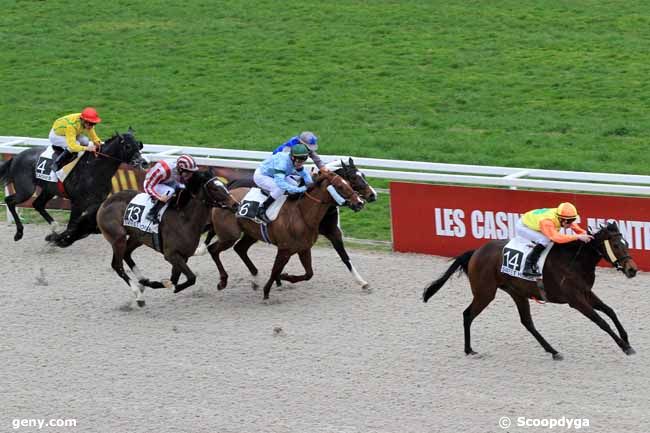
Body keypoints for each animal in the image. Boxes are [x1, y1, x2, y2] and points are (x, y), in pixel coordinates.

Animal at [0, 127, 147, 246]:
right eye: (127, 146)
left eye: (139, 145)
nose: (144, 162)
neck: (94, 168)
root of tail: (16, 157)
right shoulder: (77, 203)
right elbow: (72, 226)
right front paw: (58, 239)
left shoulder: (96, 202)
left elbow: (84, 226)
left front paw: (59, 237)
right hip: (26, 190)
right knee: (10, 201)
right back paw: (19, 233)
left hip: (48, 189)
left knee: (38, 204)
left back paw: (54, 227)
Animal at [95, 170, 237, 308]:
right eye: (215, 189)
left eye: (224, 186)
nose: (235, 204)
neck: (185, 220)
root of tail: (105, 203)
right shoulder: (171, 255)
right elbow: (190, 278)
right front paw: (169, 286)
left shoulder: (183, 256)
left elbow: (176, 279)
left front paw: (153, 283)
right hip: (118, 238)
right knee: (117, 265)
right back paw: (139, 295)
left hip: (137, 238)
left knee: (127, 254)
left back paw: (142, 281)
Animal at [197, 158, 378, 286]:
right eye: (353, 177)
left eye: (363, 175)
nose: (372, 195)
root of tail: (232, 184)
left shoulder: (332, 232)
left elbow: (344, 256)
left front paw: (362, 281)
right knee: (217, 236)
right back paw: (202, 249)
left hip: (251, 233)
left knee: (239, 248)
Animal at [420, 221, 636, 360]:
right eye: (616, 245)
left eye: (626, 243)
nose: (632, 270)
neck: (574, 261)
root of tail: (476, 252)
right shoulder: (575, 300)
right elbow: (601, 321)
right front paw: (624, 346)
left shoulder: (585, 293)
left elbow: (610, 311)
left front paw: (627, 340)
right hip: (485, 293)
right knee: (467, 314)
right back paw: (469, 349)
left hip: (517, 292)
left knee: (527, 322)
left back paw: (553, 351)